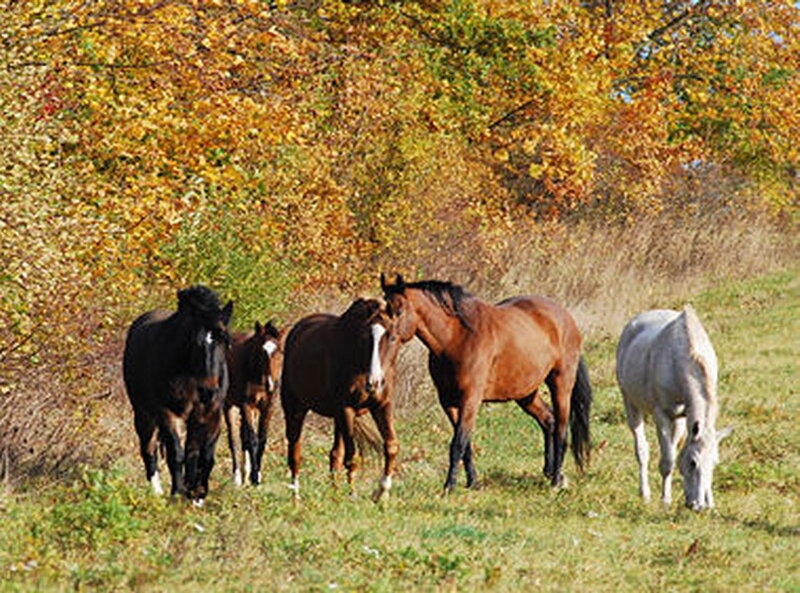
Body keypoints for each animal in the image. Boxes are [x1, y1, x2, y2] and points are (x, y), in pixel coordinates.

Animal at [122, 285, 233, 504]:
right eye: (196, 342)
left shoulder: (210, 414)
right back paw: (156, 491)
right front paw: (178, 492)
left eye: (224, 341)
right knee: (148, 448)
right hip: (143, 413)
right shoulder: (167, 413)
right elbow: (176, 453)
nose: (209, 390)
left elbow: (203, 455)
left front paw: (197, 494)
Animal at [224, 321, 284, 487]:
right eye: (262, 351)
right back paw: (237, 477)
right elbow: (252, 439)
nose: (271, 384)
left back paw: (246, 472)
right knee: (233, 438)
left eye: (280, 352)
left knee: (243, 436)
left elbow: (261, 439)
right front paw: (255, 477)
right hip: (229, 405)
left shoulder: (268, 407)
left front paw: (256, 474)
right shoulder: (246, 405)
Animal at [280, 298, 402, 500]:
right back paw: (296, 496)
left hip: (338, 417)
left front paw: (382, 493)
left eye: (392, 337)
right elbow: (352, 457)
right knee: (294, 452)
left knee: (335, 454)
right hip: (295, 408)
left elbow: (391, 446)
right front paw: (352, 495)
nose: (374, 383)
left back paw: (335, 495)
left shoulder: (382, 406)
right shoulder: (346, 409)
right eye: (365, 337)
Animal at [380, 273, 592, 493]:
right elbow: (466, 445)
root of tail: (566, 318)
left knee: (561, 430)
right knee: (548, 420)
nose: (385, 338)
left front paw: (449, 486)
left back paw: (556, 481)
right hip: (526, 393)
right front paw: (473, 482)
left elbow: (458, 443)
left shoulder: (470, 399)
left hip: (561, 385)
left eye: (399, 310)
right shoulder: (448, 402)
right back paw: (549, 471)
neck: (456, 338)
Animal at [616, 305, 732, 510]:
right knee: (641, 450)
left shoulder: (682, 417)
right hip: (630, 403)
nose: (700, 505)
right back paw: (644, 493)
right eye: (693, 462)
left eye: (715, 462)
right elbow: (668, 460)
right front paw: (665, 500)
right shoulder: (662, 415)